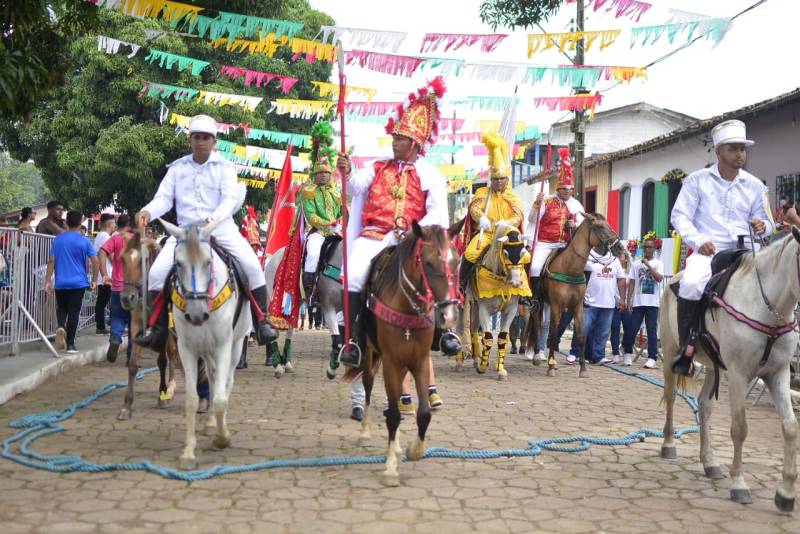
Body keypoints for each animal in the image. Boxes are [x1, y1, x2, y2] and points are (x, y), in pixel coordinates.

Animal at [116, 232, 180, 420]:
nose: (126, 298)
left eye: (143, 260)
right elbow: (132, 364)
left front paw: (162, 395)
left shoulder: (164, 327)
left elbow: (162, 360)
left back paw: (171, 386)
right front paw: (127, 406)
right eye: (122, 259)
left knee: (173, 352)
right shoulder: (136, 323)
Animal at [161, 220, 252, 472]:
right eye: (178, 263)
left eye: (208, 263)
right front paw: (188, 453)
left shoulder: (223, 345)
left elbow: (221, 398)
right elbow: (192, 399)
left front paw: (222, 439)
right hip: (207, 351)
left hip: (235, 346)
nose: (196, 314)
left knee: (225, 383)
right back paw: (211, 423)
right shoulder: (186, 349)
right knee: (212, 379)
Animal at [344, 220, 462, 488]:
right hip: (371, 357)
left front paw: (414, 450)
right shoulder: (390, 361)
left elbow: (424, 414)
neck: (407, 307)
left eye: (456, 262)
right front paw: (390, 469)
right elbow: (394, 415)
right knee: (369, 388)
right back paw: (366, 431)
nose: (449, 316)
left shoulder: (419, 361)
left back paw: (397, 445)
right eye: (428, 262)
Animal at [524, 214, 632, 382]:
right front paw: (550, 367)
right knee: (537, 323)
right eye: (599, 226)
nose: (620, 248)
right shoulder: (557, 307)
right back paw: (536, 356)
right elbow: (553, 335)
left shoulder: (577, 307)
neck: (569, 268)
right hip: (538, 302)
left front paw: (583, 369)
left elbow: (581, 336)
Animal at [660, 230, 796, 516]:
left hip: (714, 367)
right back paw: (668, 445)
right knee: (671, 397)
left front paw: (786, 493)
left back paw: (709, 462)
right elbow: (740, 428)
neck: (766, 308)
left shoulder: (778, 374)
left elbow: (790, 426)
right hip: (669, 351)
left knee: (704, 405)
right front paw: (739, 484)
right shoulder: (738, 374)